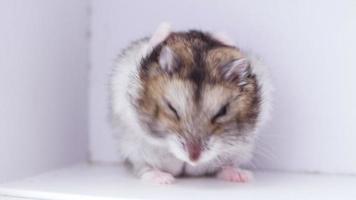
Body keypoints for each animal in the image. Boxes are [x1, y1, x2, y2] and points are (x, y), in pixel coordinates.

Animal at [110, 22, 272, 184]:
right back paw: (163, 179)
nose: (194, 159)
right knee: (144, 167)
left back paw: (240, 176)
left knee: (223, 167)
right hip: (134, 149)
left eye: (222, 112)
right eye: (172, 108)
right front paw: (166, 27)